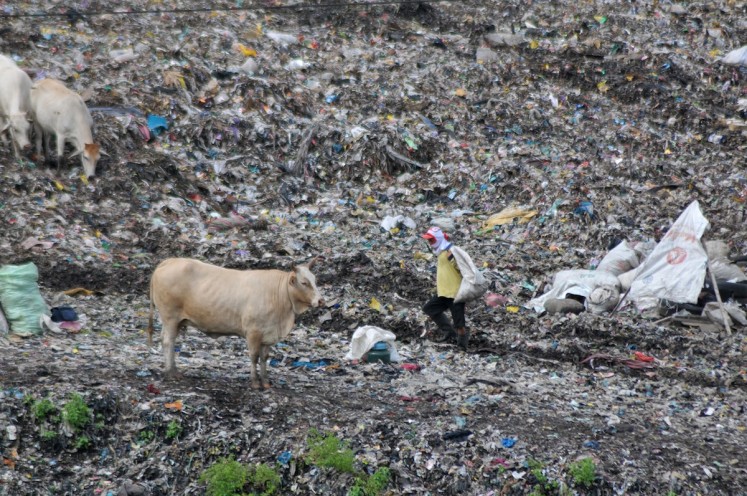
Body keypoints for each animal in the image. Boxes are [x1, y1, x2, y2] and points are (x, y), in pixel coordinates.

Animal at [147, 258, 324, 389]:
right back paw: (171, 372)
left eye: (315, 280)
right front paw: (255, 382)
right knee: (168, 341)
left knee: (165, 339)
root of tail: (170, 261)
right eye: (304, 283)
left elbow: (264, 358)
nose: (321, 300)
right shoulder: (253, 332)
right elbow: (254, 357)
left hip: (174, 321)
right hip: (170, 317)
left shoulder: (268, 334)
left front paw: (266, 382)